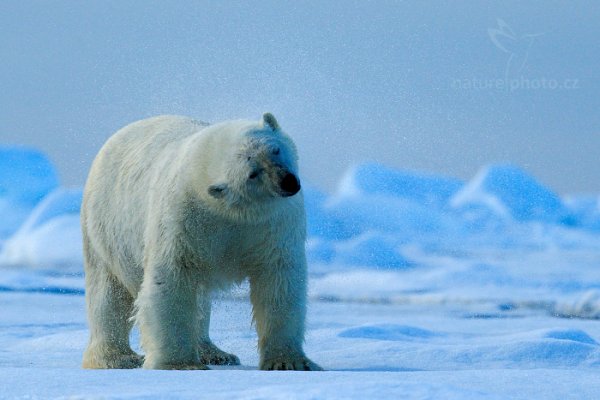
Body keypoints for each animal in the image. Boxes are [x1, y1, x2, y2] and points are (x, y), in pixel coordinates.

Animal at [83, 113, 324, 372]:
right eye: (252, 173)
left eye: (275, 150)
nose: (287, 182)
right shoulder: (183, 218)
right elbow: (172, 278)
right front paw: (180, 364)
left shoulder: (273, 225)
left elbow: (278, 281)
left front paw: (289, 362)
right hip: (105, 228)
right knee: (109, 294)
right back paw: (117, 358)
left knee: (199, 301)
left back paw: (216, 353)